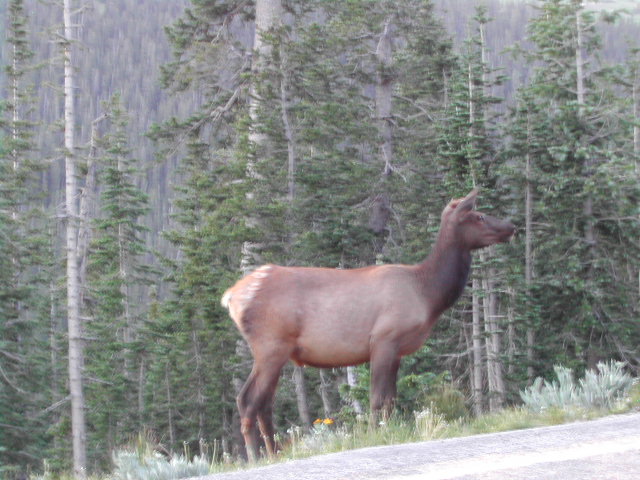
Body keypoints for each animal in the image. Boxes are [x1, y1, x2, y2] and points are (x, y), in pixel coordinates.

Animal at [220, 189, 516, 460]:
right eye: (478, 216)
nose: (511, 226)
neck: (427, 294)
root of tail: (232, 296)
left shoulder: (397, 350)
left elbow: (391, 400)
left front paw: (392, 429)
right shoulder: (384, 338)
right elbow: (376, 399)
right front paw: (376, 435)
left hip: (275, 352)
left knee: (264, 403)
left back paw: (275, 453)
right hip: (271, 346)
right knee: (248, 400)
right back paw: (255, 456)